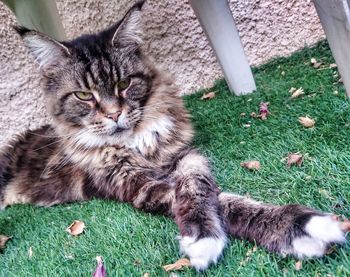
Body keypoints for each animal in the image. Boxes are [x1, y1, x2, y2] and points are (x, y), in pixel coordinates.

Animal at [0, 0, 344, 270]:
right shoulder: (138, 184)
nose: (113, 114)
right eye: (84, 95)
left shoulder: (185, 156)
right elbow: (214, 201)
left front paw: (296, 224)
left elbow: (203, 191)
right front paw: (208, 238)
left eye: (124, 83)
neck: (135, 143)